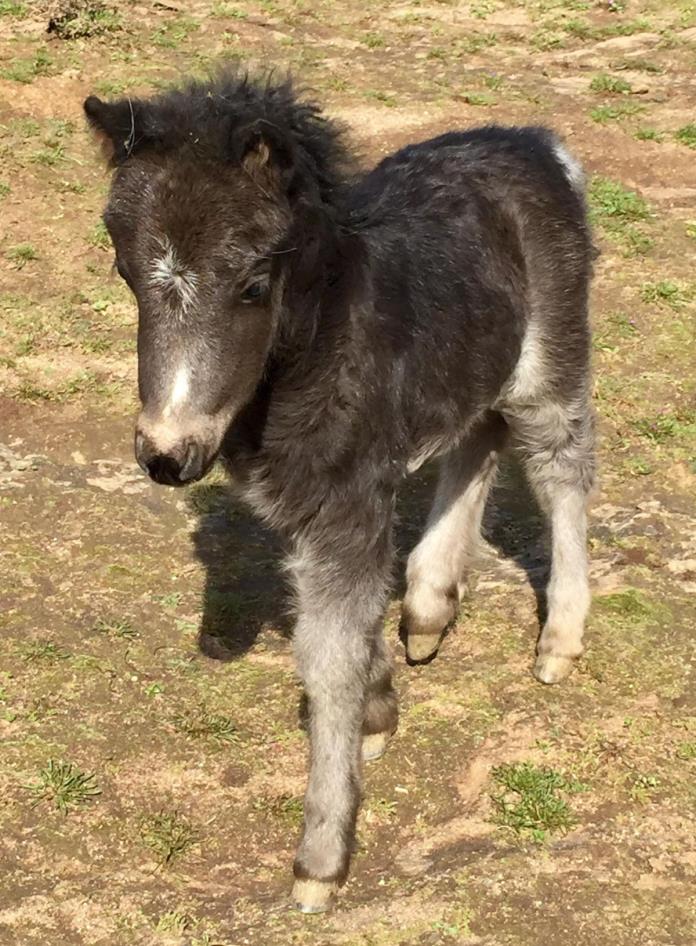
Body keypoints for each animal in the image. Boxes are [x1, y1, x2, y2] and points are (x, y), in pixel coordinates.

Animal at [85, 70, 600, 912]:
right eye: (127, 275)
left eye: (253, 283)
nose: (166, 456)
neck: (316, 347)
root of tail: (532, 141)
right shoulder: (305, 502)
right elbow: (341, 629)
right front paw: (381, 704)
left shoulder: (347, 501)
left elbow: (325, 652)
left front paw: (320, 860)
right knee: (477, 433)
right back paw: (429, 605)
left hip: (550, 359)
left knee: (560, 465)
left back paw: (557, 641)